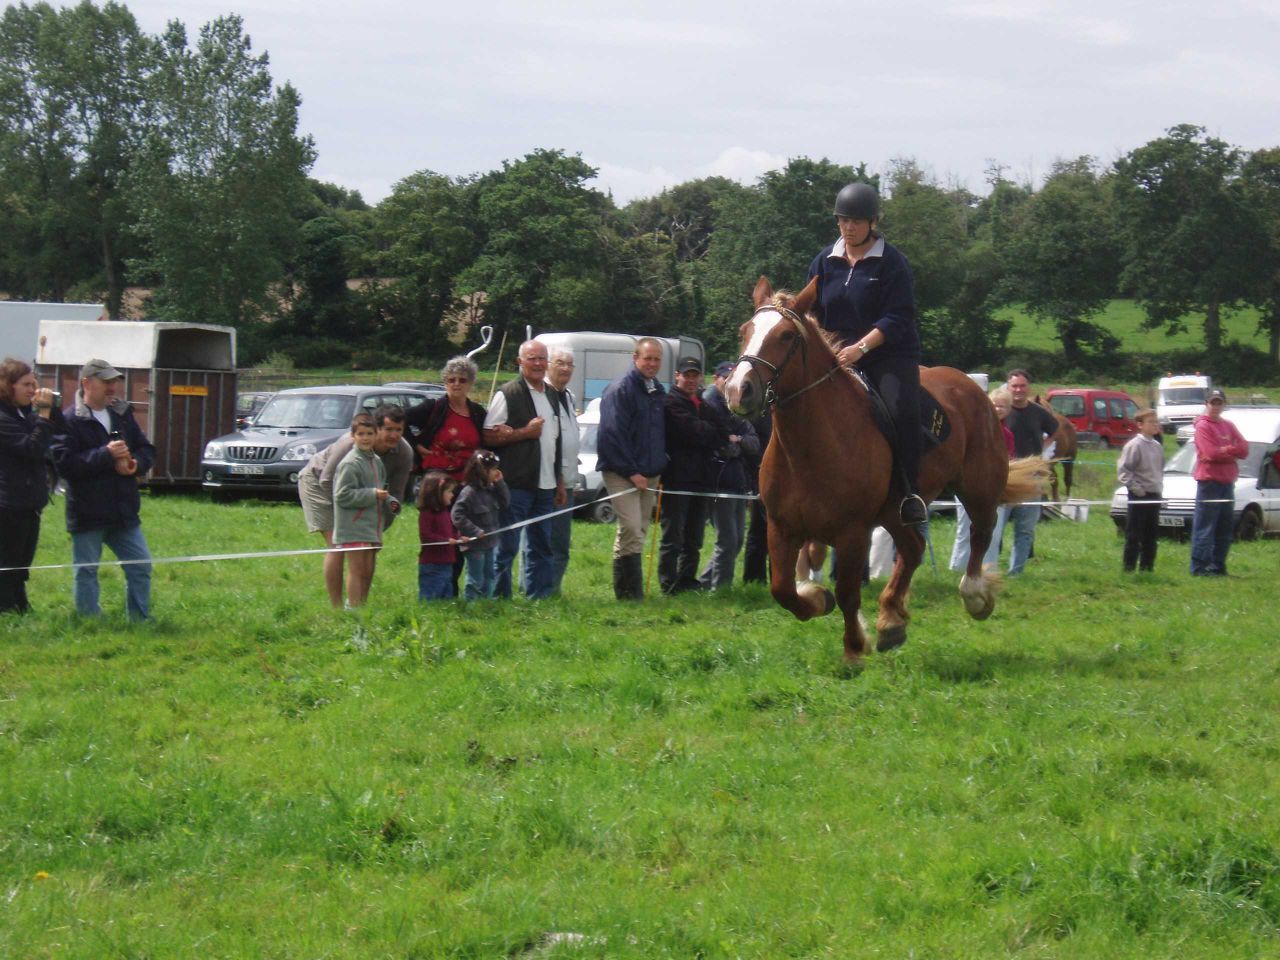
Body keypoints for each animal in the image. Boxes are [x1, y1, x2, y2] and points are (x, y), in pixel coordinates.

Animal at [725, 277, 1048, 662]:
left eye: (787, 336)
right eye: (745, 330)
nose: (737, 391)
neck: (810, 445)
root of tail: (972, 388)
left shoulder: (852, 533)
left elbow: (847, 593)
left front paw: (853, 648)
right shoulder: (782, 527)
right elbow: (784, 590)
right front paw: (817, 598)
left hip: (978, 488)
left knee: (981, 532)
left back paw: (973, 596)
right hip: (895, 511)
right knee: (913, 549)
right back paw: (892, 620)